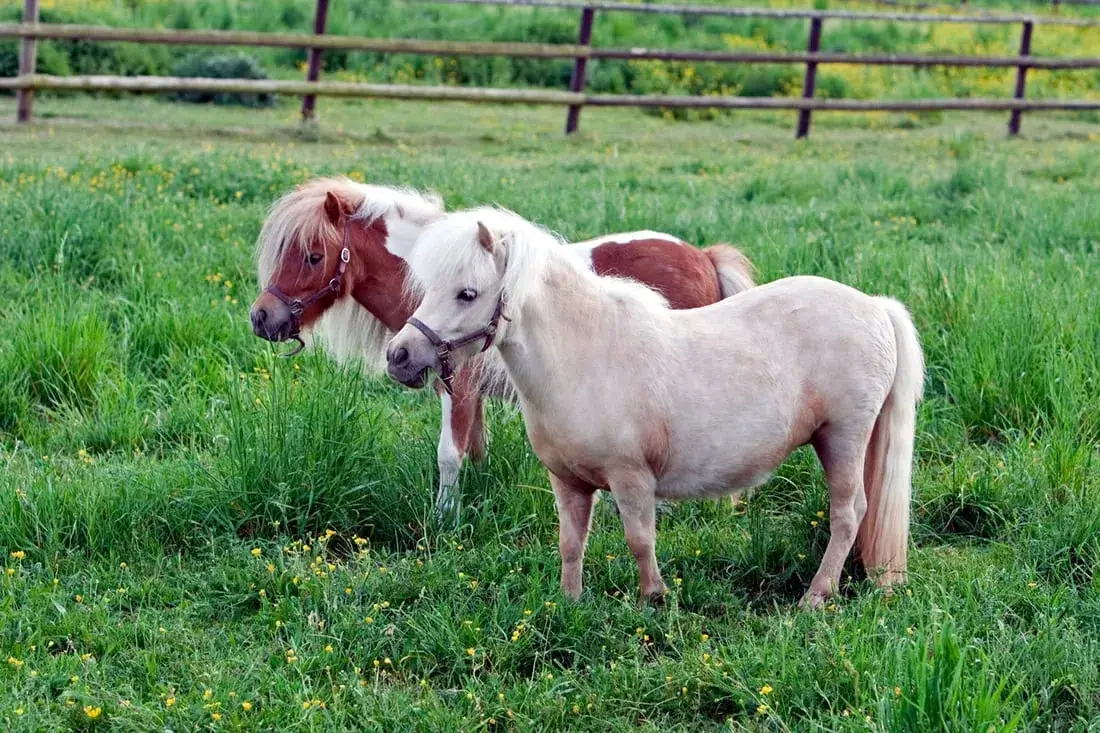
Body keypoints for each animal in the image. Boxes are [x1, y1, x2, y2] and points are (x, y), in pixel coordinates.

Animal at [248, 177, 755, 518]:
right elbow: (473, 450)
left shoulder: (458, 386)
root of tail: (704, 257)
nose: (261, 318)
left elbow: (448, 454)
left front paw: (443, 517)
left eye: (313, 256)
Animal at [385, 207, 924, 607]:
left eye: (467, 293)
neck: (584, 357)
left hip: (843, 438)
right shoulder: (567, 483)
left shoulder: (632, 480)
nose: (399, 356)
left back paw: (815, 596)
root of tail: (875, 305)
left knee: (848, 513)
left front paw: (653, 600)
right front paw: (570, 603)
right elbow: (570, 545)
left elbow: (640, 541)